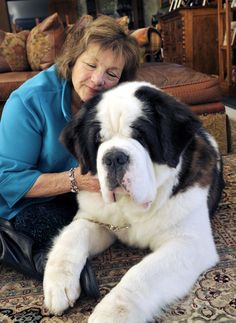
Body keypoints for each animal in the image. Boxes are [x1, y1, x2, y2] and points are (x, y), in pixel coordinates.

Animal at [43, 81, 223, 323]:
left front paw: (109, 314)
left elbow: (141, 274)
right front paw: (57, 284)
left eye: (141, 137)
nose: (113, 157)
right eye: (99, 140)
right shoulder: (95, 218)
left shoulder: (188, 242)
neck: (131, 208)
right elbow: (73, 233)